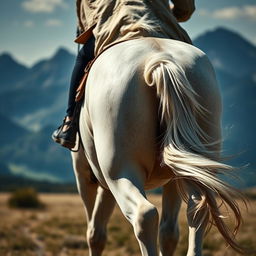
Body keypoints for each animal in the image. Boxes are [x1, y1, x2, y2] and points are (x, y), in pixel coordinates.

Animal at [71, 36, 243, 256]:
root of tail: (160, 59)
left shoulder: (86, 176)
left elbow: (95, 232)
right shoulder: (172, 181)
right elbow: (168, 232)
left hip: (119, 172)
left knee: (144, 215)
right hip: (191, 169)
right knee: (199, 208)